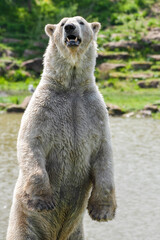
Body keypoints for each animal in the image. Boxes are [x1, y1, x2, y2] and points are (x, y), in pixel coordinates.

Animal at [6, 16, 116, 240]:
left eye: (81, 22)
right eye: (62, 22)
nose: (70, 27)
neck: (71, 87)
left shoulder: (95, 111)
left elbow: (104, 152)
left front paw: (103, 211)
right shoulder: (43, 107)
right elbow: (31, 142)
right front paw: (43, 201)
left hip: (76, 231)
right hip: (24, 224)